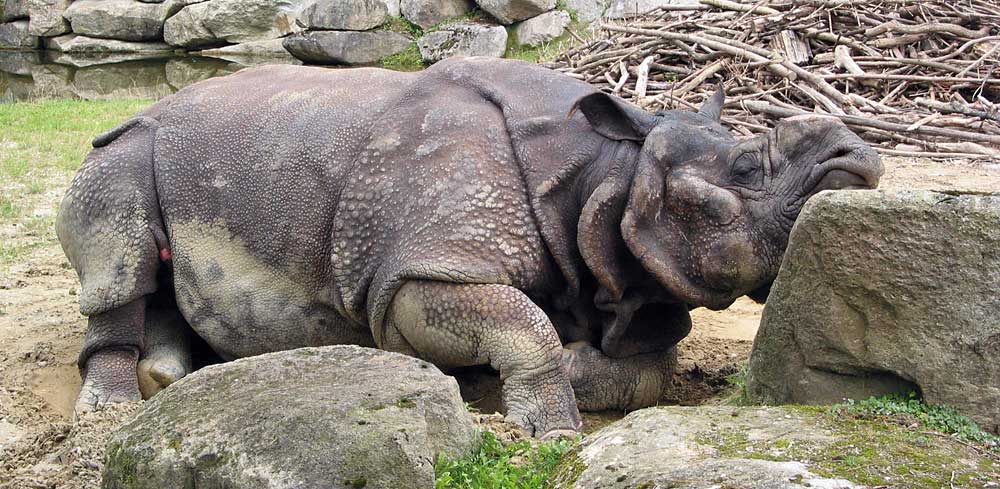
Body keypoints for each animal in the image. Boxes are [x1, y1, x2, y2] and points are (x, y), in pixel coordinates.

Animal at [58, 56, 880, 434]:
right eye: (744, 169)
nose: (860, 161)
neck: (606, 173)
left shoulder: (635, 287)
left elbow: (645, 367)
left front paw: (574, 372)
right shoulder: (416, 273)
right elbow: (522, 324)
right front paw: (548, 424)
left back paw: (168, 376)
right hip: (122, 150)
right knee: (119, 249)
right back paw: (110, 412)